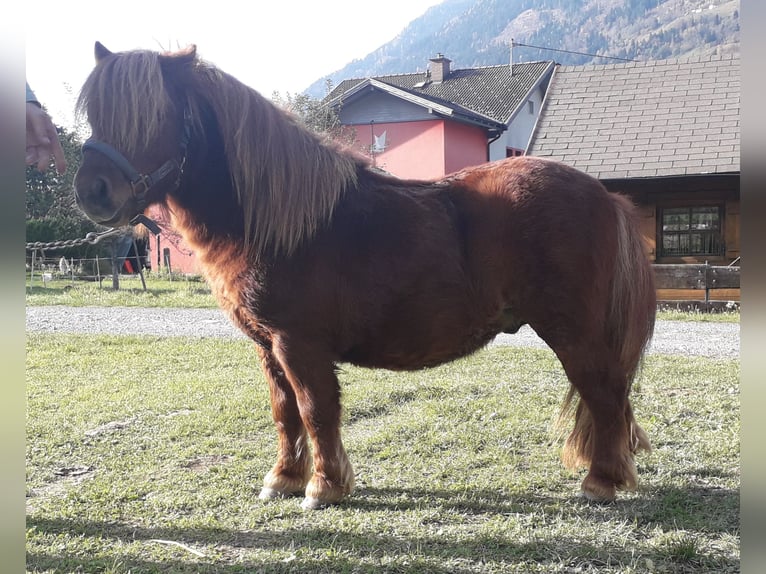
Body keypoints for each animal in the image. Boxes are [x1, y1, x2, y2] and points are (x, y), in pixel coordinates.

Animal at [75, 46, 656, 512]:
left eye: (153, 114)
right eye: (96, 115)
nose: (92, 191)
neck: (280, 224)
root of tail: (604, 195)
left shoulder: (299, 344)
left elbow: (316, 411)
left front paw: (324, 487)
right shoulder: (268, 348)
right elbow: (285, 413)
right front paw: (284, 479)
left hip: (573, 333)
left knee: (605, 394)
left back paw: (601, 483)